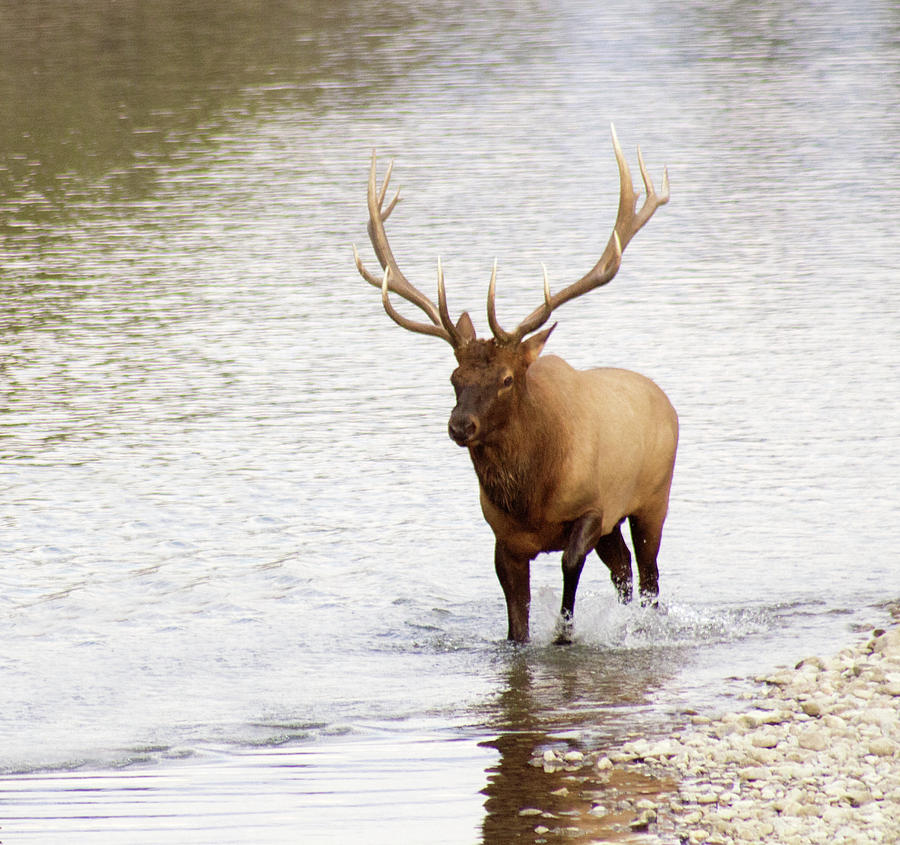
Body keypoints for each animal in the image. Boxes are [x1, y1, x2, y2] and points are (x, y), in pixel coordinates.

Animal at [356, 125, 680, 644]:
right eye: (454, 377)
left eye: (507, 379)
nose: (460, 426)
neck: (532, 498)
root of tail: (662, 398)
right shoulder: (502, 538)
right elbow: (515, 622)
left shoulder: (594, 506)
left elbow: (569, 567)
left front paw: (565, 633)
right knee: (624, 569)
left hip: (652, 497)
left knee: (648, 573)